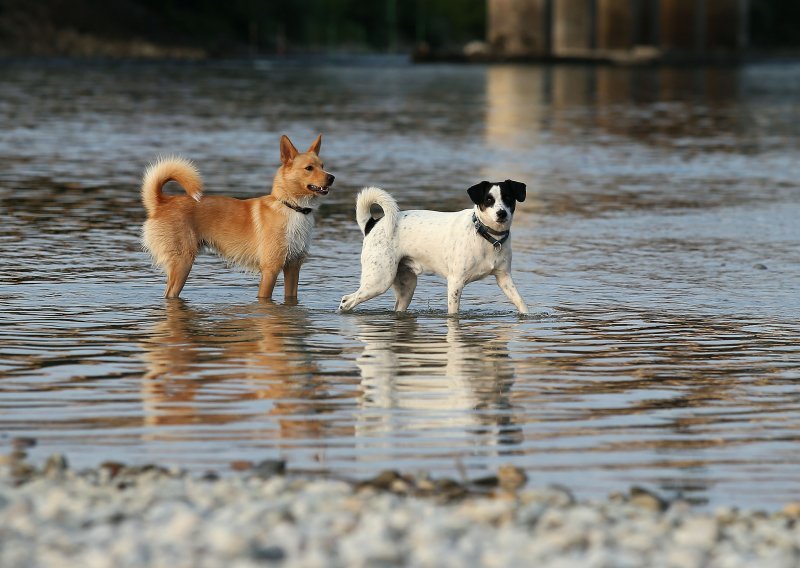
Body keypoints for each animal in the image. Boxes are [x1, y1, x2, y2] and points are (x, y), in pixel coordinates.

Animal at [141, 135, 334, 300]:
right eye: (309, 168)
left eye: (323, 166)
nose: (332, 177)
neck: (293, 208)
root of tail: (161, 203)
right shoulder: (270, 270)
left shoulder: (293, 267)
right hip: (183, 263)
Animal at [340, 179, 532, 316]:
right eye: (488, 200)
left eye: (508, 199)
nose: (502, 213)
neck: (486, 235)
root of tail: (372, 224)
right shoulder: (455, 282)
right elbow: (453, 313)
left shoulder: (504, 278)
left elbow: (521, 302)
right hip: (379, 280)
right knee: (346, 301)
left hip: (406, 287)